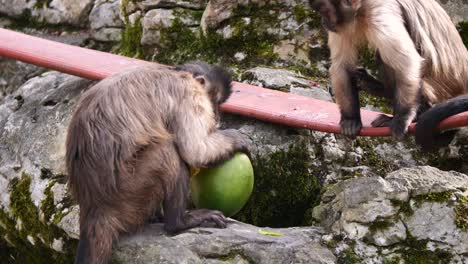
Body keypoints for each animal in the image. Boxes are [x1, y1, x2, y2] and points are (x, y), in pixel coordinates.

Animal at [65, 61, 252, 264]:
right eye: (215, 102)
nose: (217, 116)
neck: (176, 73)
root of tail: (95, 204)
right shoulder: (187, 92)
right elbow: (196, 151)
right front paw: (236, 139)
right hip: (128, 190)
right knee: (168, 150)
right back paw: (178, 222)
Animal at [310, 0, 468, 150]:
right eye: (320, 12)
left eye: (325, 11)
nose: (323, 22)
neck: (361, 10)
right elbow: (342, 67)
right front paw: (350, 118)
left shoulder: (378, 14)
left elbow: (408, 63)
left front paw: (403, 117)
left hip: (438, 89)